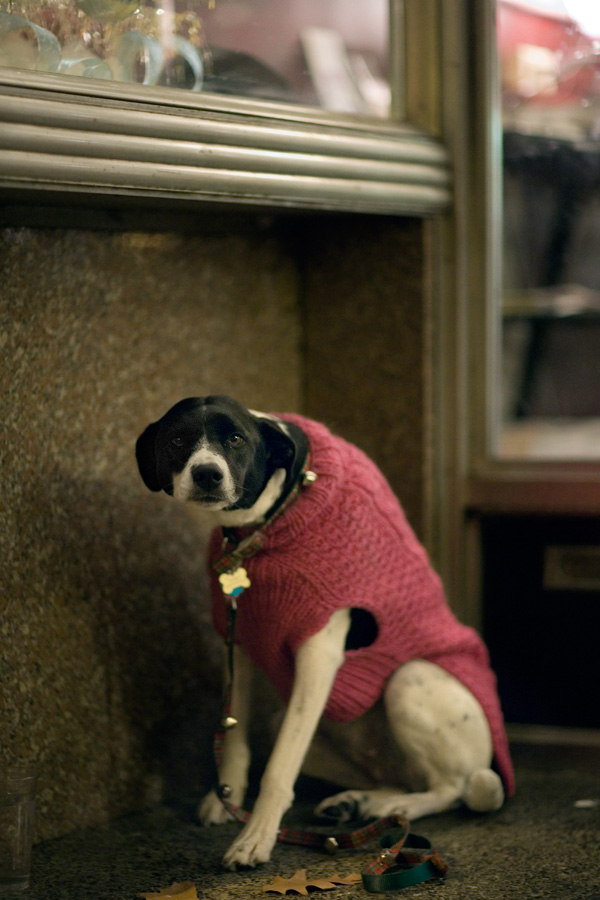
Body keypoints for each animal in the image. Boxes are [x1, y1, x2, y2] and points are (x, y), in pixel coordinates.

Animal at [138, 396, 512, 872]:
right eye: (177, 440)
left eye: (236, 439)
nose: (207, 473)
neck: (265, 525)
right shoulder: (238, 641)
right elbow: (235, 735)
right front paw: (225, 798)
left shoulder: (318, 655)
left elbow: (279, 767)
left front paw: (255, 837)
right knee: (403, 778)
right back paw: (358, 802)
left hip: (410, 680)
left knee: (455, 786)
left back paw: (402, 807)